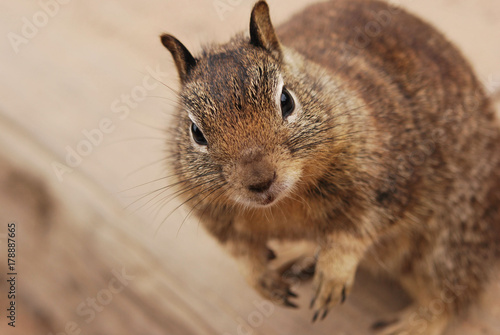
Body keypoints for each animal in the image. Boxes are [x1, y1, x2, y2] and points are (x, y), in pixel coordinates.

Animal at [159, 1, 500, 334]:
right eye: (196, 132)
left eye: (286, 100)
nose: (259, 181)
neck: (284, 204)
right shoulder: (214, 215)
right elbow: (242, 254)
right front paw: (264, 281)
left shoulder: (387, 185)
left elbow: (354, 235)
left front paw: (332, 279)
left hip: (449, 244)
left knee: (451, 296)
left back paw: (410, 325)